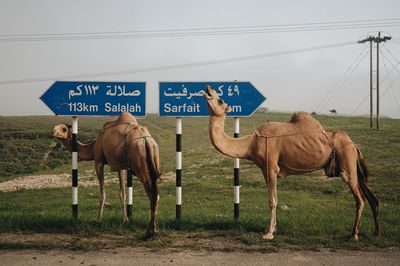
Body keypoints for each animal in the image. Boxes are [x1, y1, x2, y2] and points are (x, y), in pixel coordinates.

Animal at [205, 85, 380, 241]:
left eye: (220, 100)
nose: (208, 88)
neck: (251, 143)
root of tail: (353, 144)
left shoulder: (271, 167)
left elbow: (272, 200)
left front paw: (269, 233)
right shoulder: (265, 170)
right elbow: (274, 197)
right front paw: (271, 228)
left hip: (347, 163)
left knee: (360, 198)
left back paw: (354, 235)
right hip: (354, 165)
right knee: (371, 197)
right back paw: (376, 233)